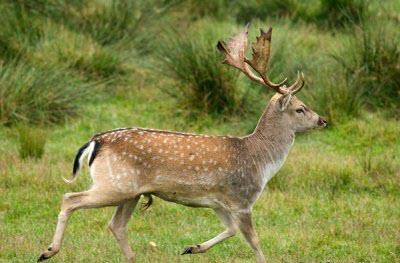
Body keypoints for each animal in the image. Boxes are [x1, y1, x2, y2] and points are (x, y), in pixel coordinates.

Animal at [37, 25, 326, 263]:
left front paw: (191, 247)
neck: (260, 162)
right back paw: (47, 251)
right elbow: (254, 240)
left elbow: (231, 229)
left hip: (130, 192)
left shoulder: (219, 202)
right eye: (300, 108)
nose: (322, 120)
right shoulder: (242, 199)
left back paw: (131, 258)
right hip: (114, 185)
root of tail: (95, 141)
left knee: (115, 224)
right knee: (69, 199)